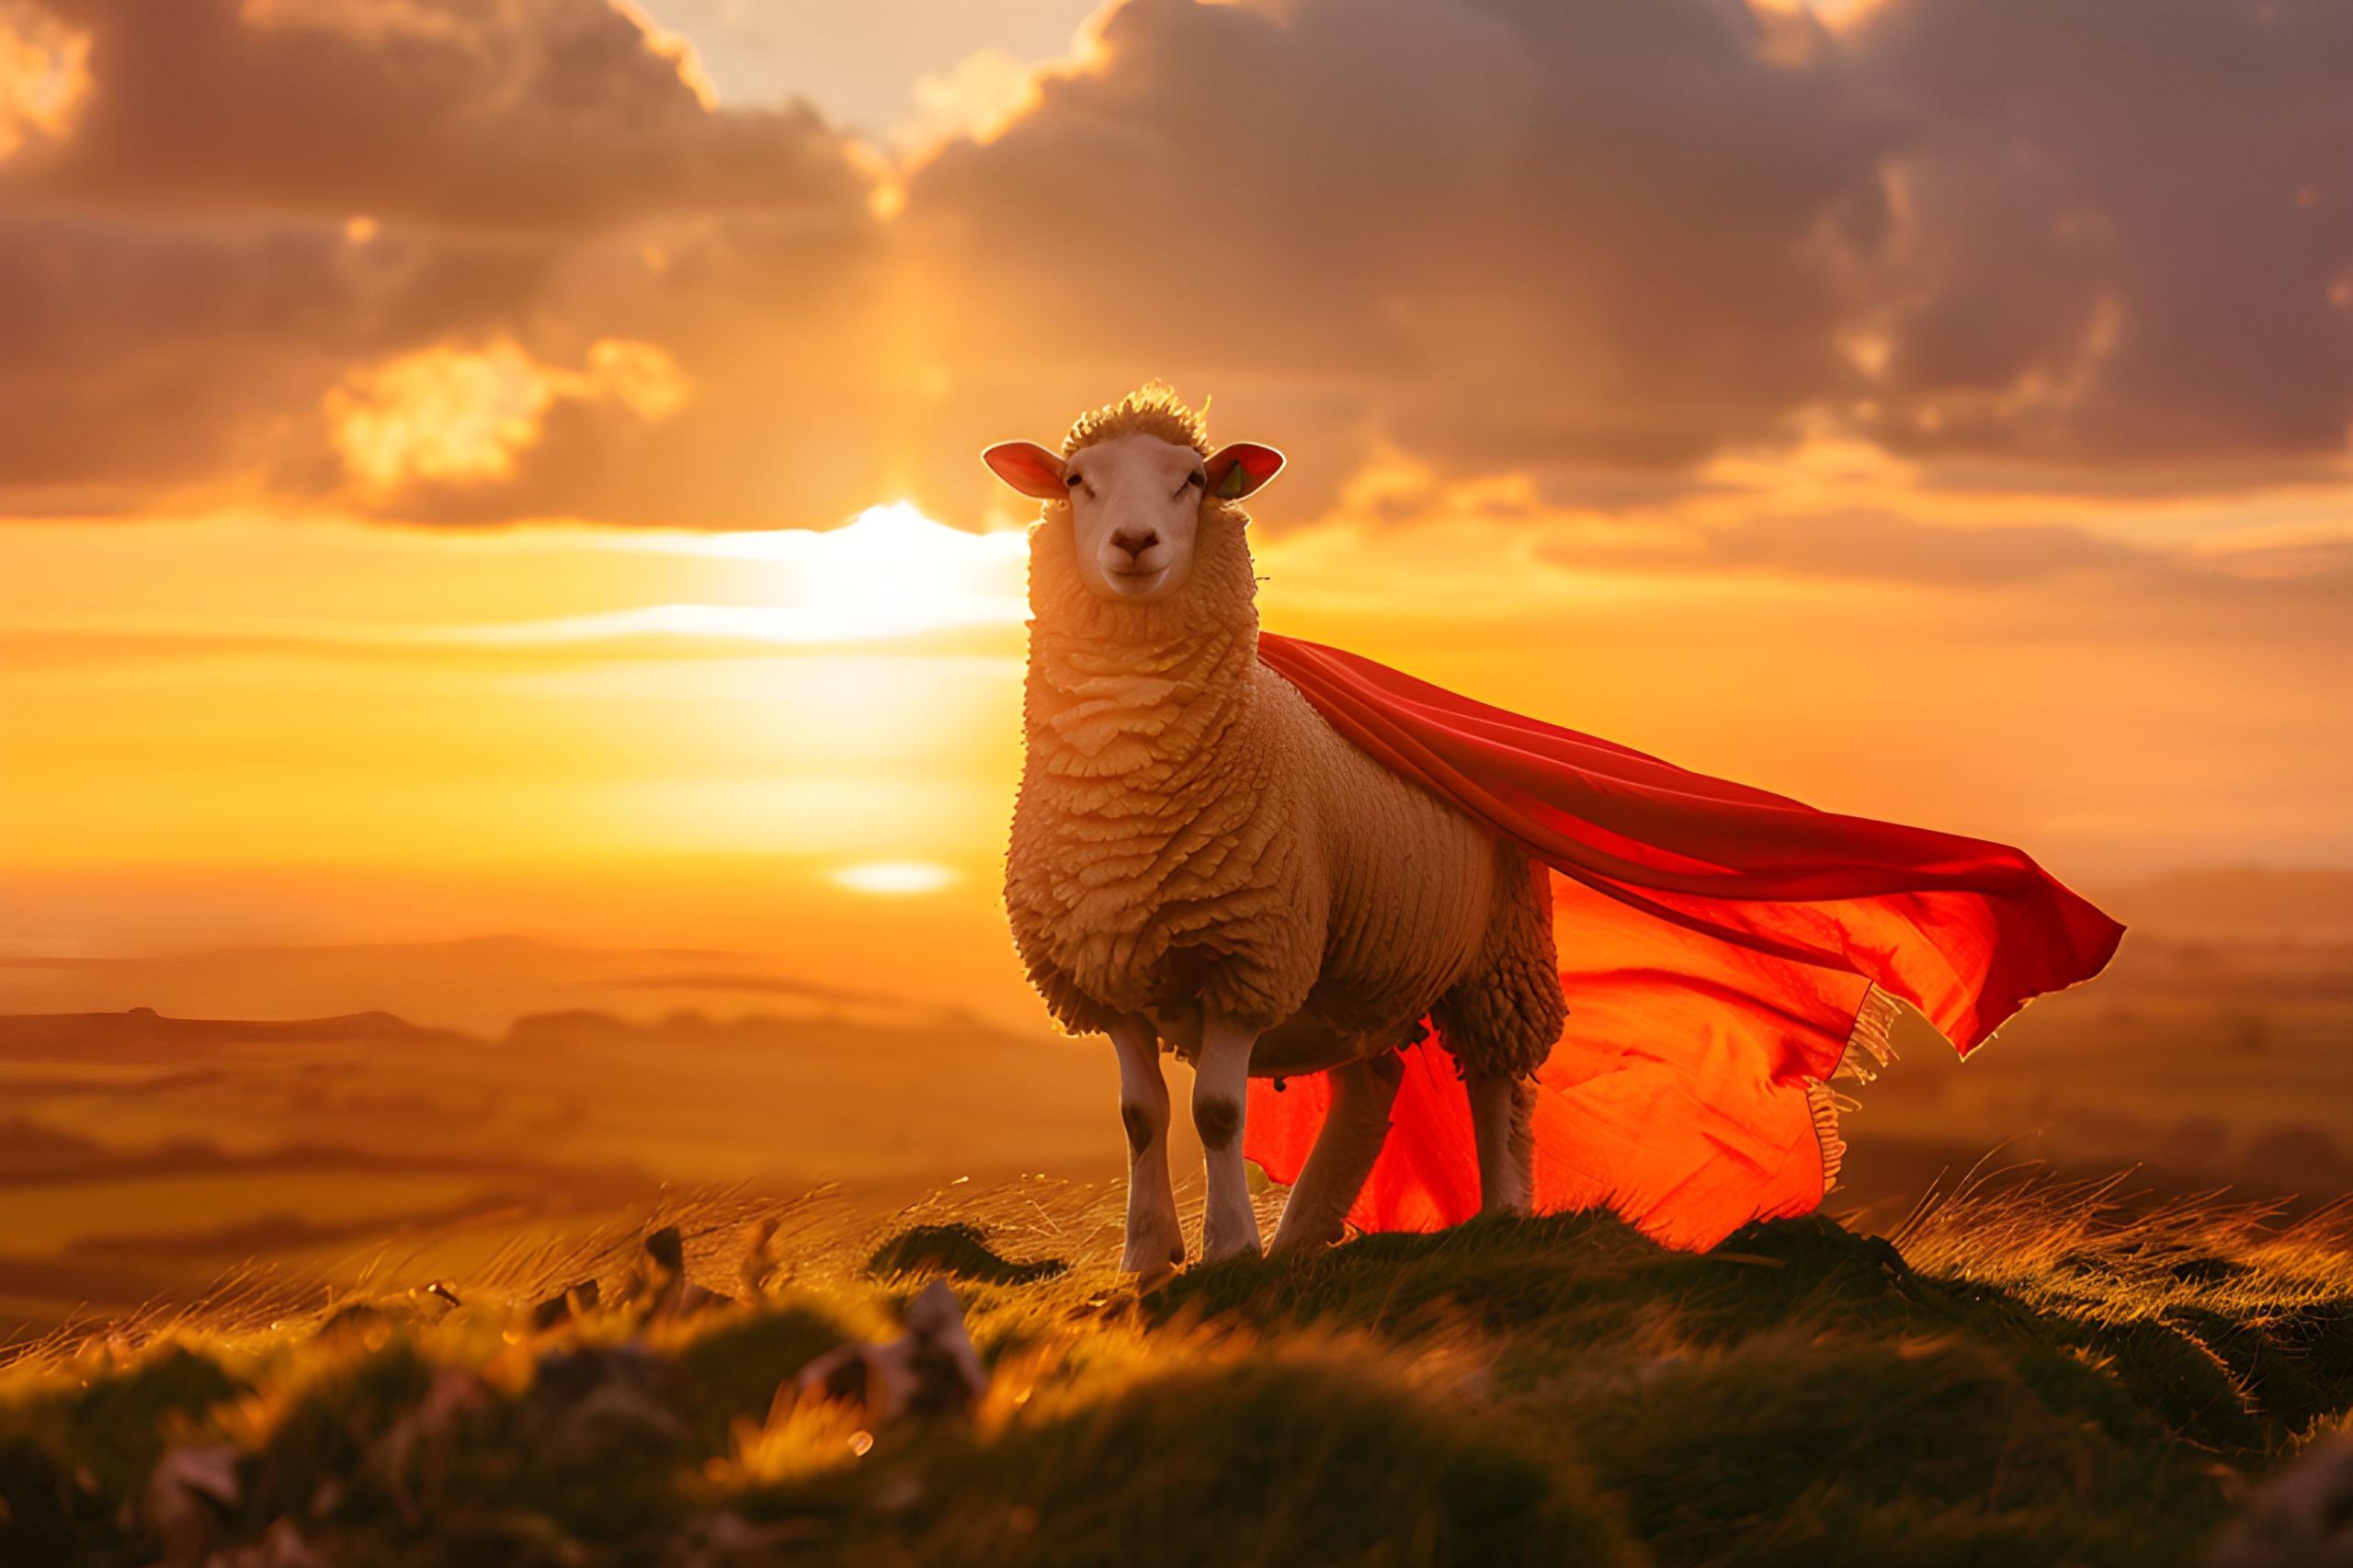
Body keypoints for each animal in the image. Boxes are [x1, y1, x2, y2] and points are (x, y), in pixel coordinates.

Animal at [983, 384, 1568, 1271]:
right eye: (1077, 480)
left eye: (1194, 480)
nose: (1134, 542)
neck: (1124, 778)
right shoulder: (1102, 970)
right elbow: (1140, 1116)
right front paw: (1147, 1253)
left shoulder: (1248, 955)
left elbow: (1218, 1112)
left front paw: (1229, 1247)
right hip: (1353, 978)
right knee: (1372, 1089)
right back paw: (1302, 1236)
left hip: (1496, 958)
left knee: (1499, 1086)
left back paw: (1500, 1210)